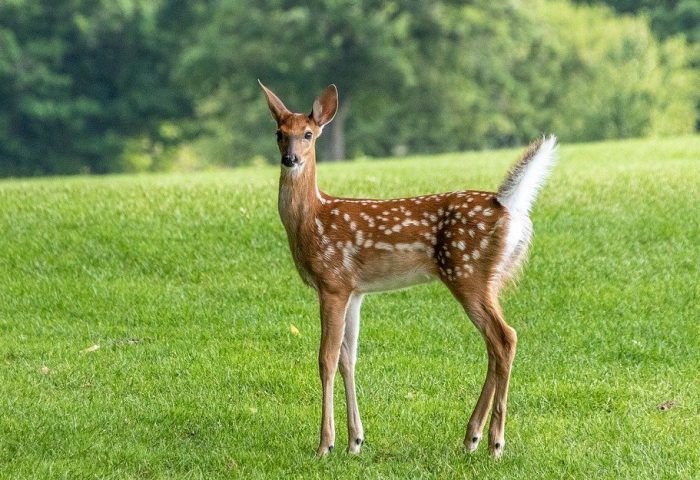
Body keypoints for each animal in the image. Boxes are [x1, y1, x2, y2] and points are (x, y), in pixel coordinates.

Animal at [258, 80, 558, 458]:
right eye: (279, 133)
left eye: (308, 134)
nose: (290, 159)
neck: (312, 220)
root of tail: (508, 205)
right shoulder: (355, 290)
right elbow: (348, 358)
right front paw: (355, 441)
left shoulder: (333, 281)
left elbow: (326, 359)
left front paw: (325, 444)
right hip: (488, 279)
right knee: (495, 344)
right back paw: (471, 437)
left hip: (468, 272)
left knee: (505, 337)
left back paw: (495, 442)